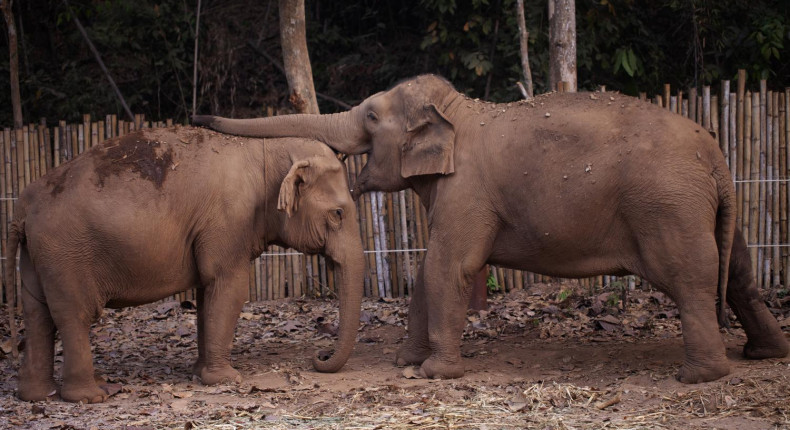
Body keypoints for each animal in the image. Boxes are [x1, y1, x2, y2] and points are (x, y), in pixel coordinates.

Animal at [4, 125, 364, 403]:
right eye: (338, 213)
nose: (319, 356)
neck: (265, 150)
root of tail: (22, 206)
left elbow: (208, 294)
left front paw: (199, 372)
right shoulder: (229, 221)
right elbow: (229, 287)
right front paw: (226, 379)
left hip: (37, 256)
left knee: (37, 314)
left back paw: (37, 395)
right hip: (65, 254)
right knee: (74, 315)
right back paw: (91, 396)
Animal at [193, 75, 789, 383]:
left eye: (370, 118)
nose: (198, 115)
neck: (458, 112)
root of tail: (716, 154)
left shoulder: (467, 191)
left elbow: (448, 265)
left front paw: (435, 373)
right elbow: (430, 268)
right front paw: (407, 362)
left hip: (667, 207)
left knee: (691, 277)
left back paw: (700, 376)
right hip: (703, 207)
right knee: (738, 272)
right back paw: (765, 355)